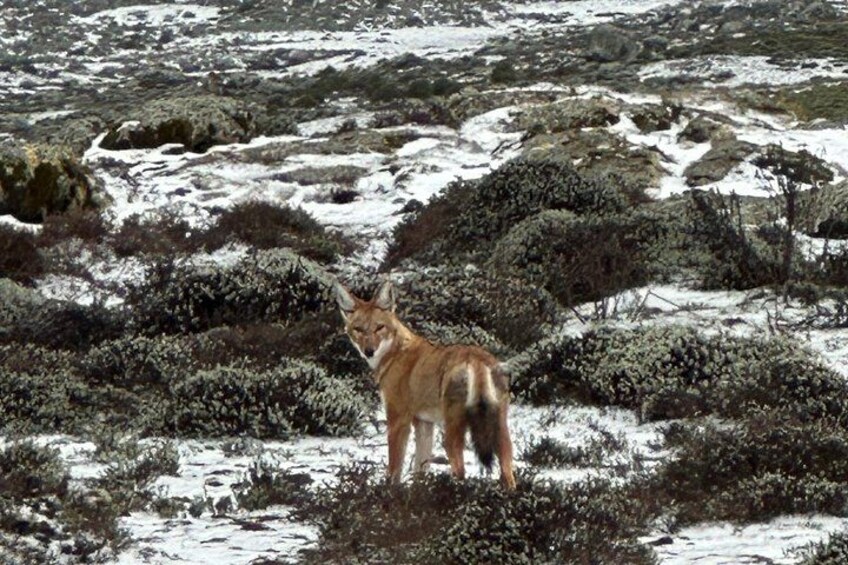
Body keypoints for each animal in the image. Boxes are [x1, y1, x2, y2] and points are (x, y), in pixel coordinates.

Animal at [334, 279, 516, 490]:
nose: (369, 351)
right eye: (359, 329)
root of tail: (476, 359)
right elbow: (419, 471)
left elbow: (394, 471)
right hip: (500, 433)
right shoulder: (424, 424)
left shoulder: (398, 420)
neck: (395, 354)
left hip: (451, 435)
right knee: (509, 475)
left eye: (379, 327)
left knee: (461, 472)